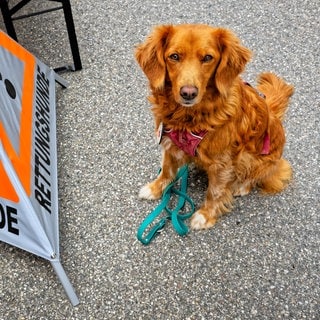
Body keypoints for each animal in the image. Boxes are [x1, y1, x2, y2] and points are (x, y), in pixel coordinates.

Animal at [134, 24, 294, 230]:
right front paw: (156, 188)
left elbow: (215, 191)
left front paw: (205, 215)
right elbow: (167, 169)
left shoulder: (222, 163)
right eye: (174, 56)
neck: (189, 119)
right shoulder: (169, 141)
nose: (188, 93)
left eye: (208, 58)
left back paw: (241, 186)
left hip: (252, 158)